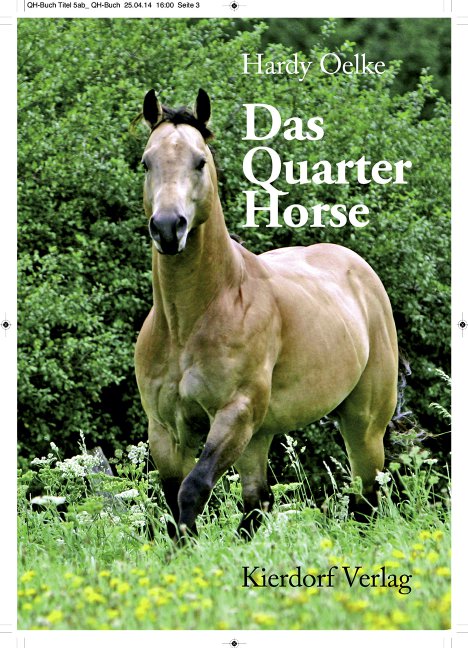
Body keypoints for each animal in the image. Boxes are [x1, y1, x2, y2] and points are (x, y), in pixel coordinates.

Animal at [134, 88, 399, 541]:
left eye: (199, 161)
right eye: (146, 162)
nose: (169, 228)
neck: (189, 323)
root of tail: (358, 268)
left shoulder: (234, 413)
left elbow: (193, 489)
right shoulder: (165, 428)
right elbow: (174, 500)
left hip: (362, 422)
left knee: (365, 496)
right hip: (259, 434)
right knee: (258, 503)